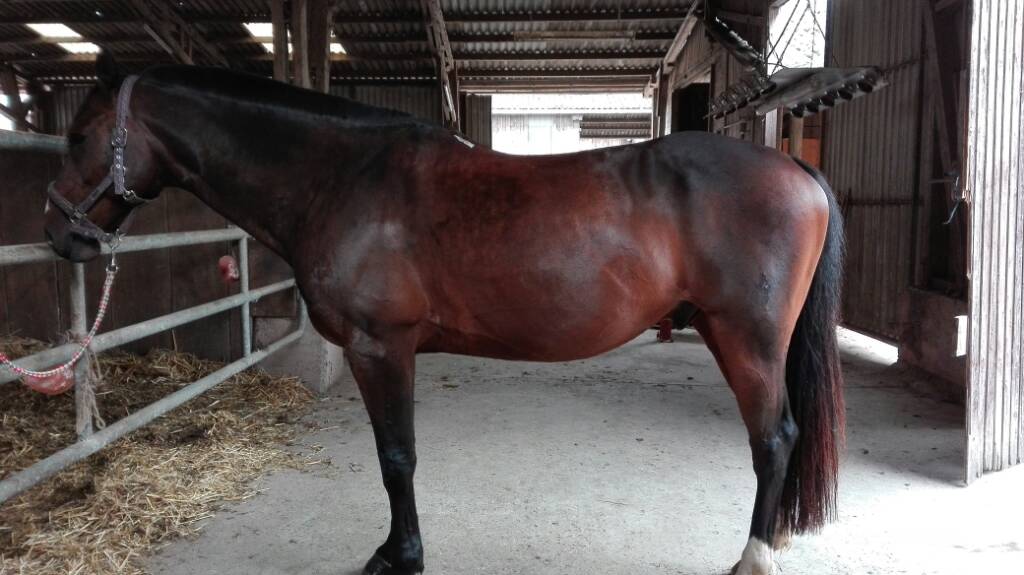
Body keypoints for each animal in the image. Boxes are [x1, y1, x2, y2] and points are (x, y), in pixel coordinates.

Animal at [43, 53, 845, 575]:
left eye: (78, 136)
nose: (58, 234)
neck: (341, 179)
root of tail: (795, 170)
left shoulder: (379, 348)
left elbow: (396, 456)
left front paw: (399, 557)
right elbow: (397, 456)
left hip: (747, 341)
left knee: (775, 437)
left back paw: (752, 558)